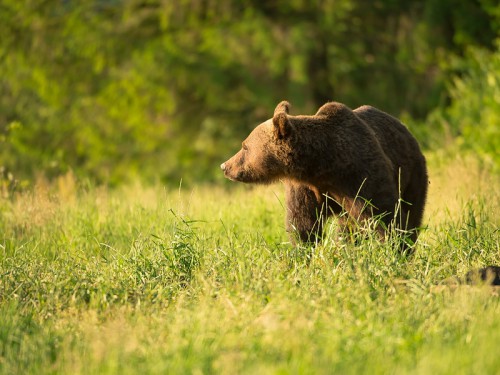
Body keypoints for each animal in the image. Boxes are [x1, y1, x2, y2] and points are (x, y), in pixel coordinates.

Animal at [221, 100, 428, 253]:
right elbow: (303, 223)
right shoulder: (306, 188)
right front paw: (303, 251)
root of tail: (406, 129)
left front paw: (396, 249)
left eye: (245, 146)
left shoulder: (360, 176)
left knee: (412, 211)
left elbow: (385, 214)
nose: (225, 166)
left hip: (411, 174)